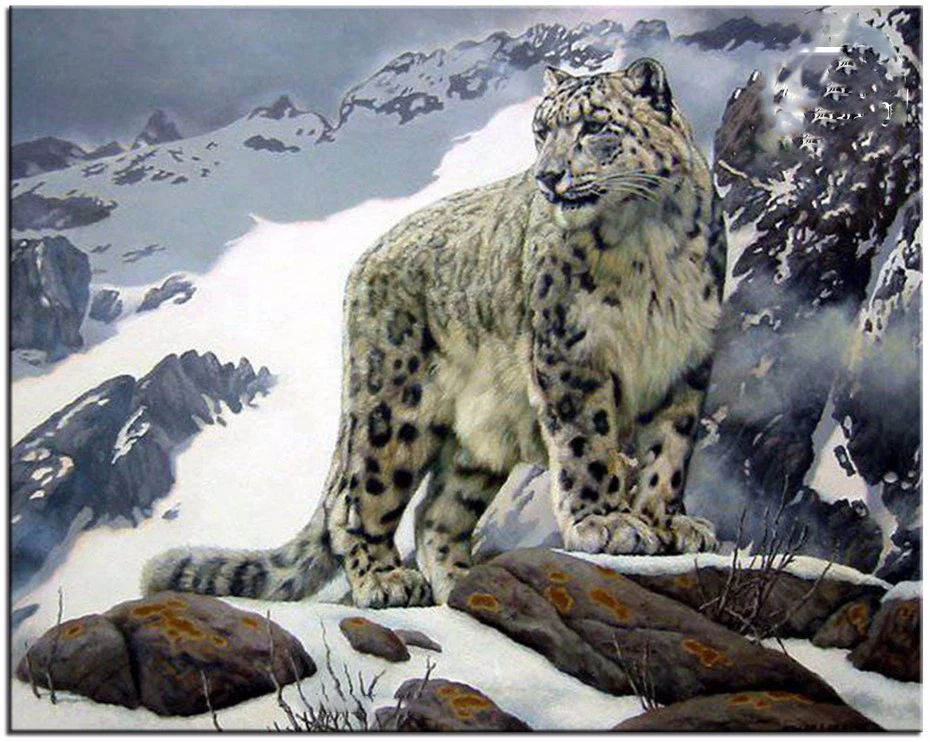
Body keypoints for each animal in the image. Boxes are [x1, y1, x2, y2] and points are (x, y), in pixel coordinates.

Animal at [143, 58, 726, 609]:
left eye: (595, 126)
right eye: (541, 131)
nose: (548, 176)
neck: (647, 240)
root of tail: (365, 262)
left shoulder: (687, 359)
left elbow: (670, 450)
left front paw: (669, 523)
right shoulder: (570, 352)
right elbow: (588, 443)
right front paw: (606, 522)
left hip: (478, 439)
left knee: (435, 514)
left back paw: (466, 583)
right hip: (391, 408)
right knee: (358, 498)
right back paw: (386, 580)